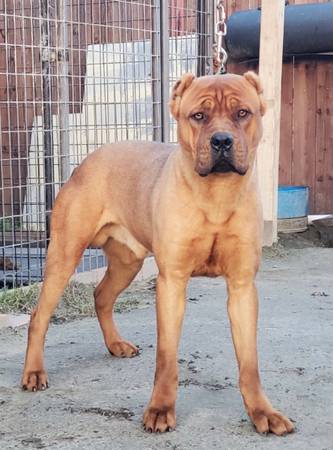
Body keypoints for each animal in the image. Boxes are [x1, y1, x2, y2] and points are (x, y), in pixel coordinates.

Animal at [22, 73, 294, 436]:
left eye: (242, 113)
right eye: (198, 116)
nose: (222, 141)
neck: (217, 195)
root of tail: (90, 158)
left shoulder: (241, 286)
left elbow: (249, 362)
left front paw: (262, 411)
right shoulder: (172, 282)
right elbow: (166, 356)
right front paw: (160, 409)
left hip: (128, 261)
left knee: (101, 295)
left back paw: (115, 344)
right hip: (64, 256)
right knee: (39, 316)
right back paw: (34, 372)